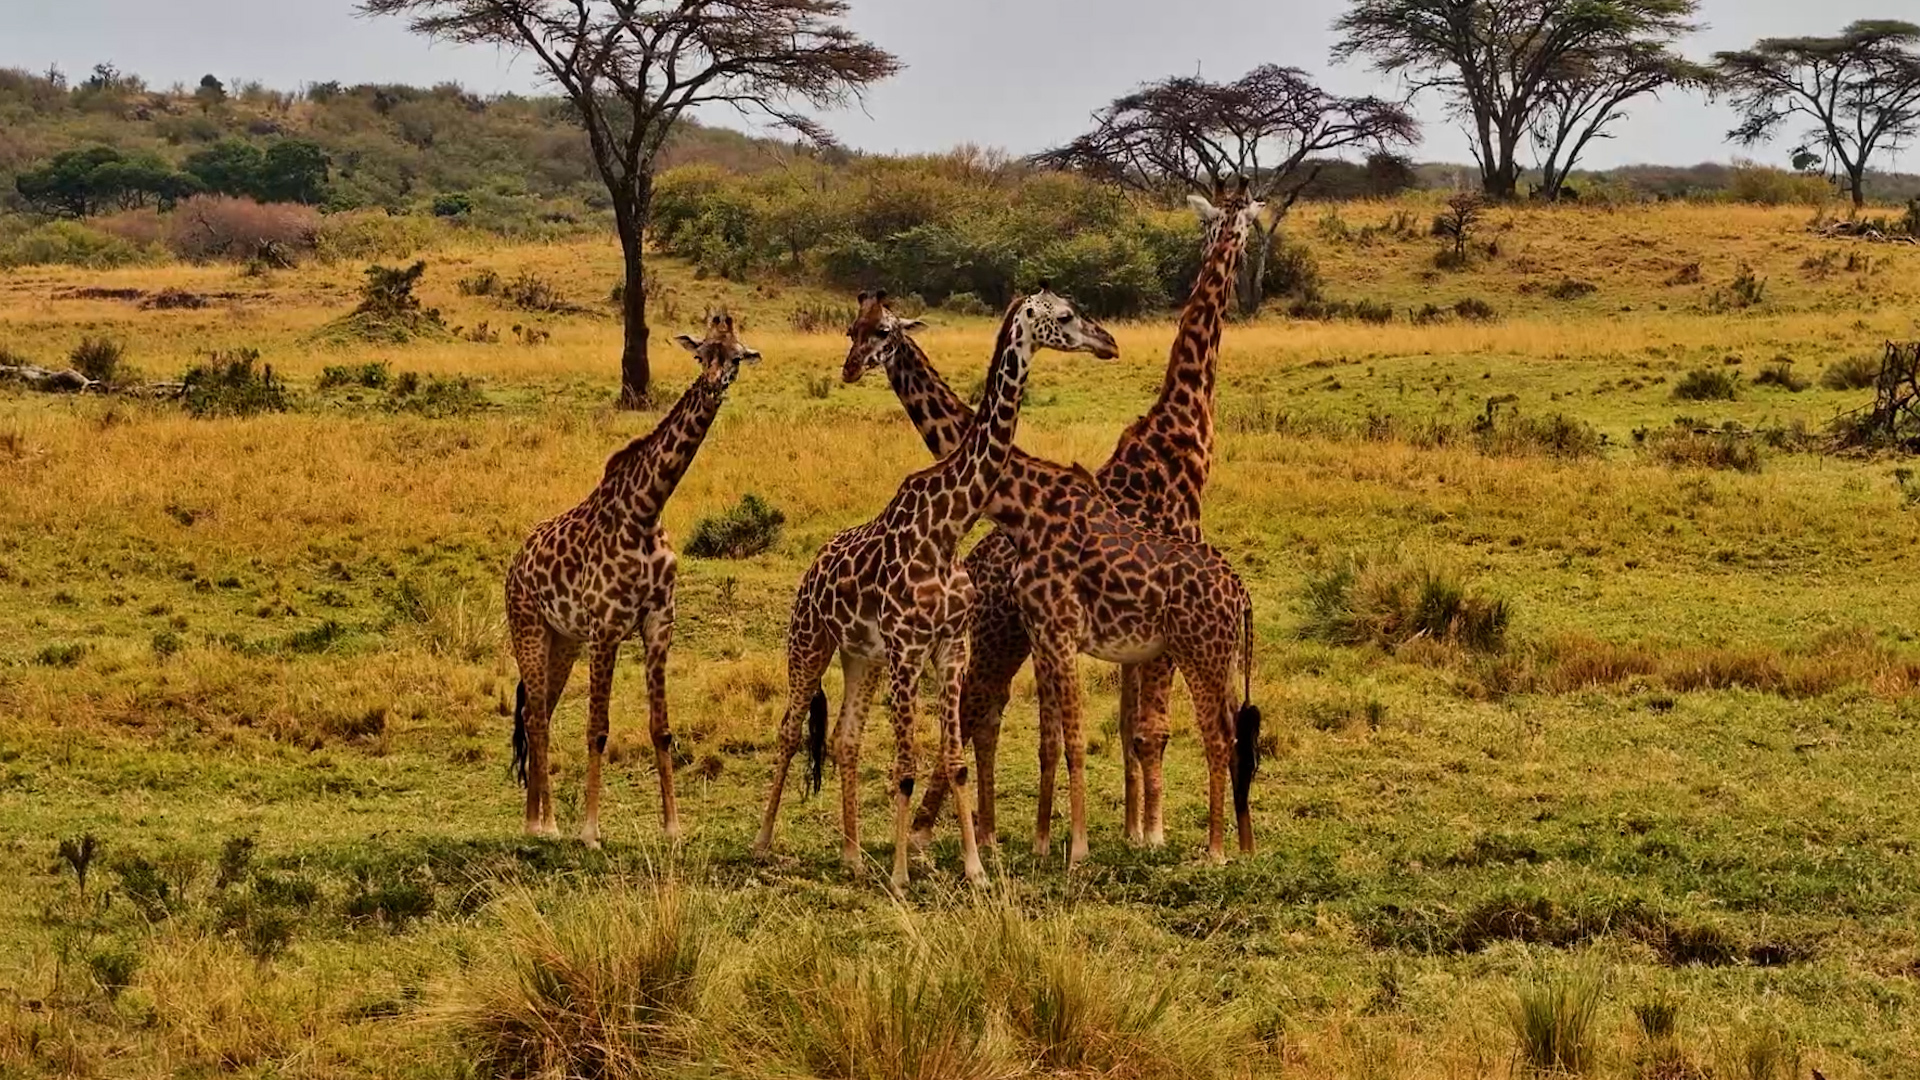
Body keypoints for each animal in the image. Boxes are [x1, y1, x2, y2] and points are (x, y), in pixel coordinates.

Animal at [504, 313, 758, 847]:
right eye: (701, 353)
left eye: (736, 356)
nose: (712, 385)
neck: (646, 510)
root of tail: (515, 563)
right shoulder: (606, 628)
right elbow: (597, 728)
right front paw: (590, 831)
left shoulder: (659, 623)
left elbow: (661, 728)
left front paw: (674, 827)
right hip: (529, 628)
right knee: (536, 714)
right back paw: (544, 825)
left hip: (563, 640)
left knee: (542, 713)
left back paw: (540, 820)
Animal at [753, 287, 1119, 891]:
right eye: (1066, 316)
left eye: (883, 331)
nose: (1108, 341)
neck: (949, 527)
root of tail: (812, 569)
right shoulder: (908, 649)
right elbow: (906, 765)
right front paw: (902, 874)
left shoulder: (950, 646)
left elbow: (954, 760)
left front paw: (976, 870)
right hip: (809, 643)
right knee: (787, 730)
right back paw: (763, 841)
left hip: (861, 658)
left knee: (845, 739)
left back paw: (852, 856)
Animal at [852, 178, 1266, 851]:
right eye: (1242, 223)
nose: (1110, 343)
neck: (1184, 428)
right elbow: (1145, 730)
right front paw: (1146, 832)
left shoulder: (1124, 636)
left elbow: (1124, 729)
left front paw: (1127, 830)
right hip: (999, 638)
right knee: (979, 712)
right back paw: (943, 832)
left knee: (986, 715)